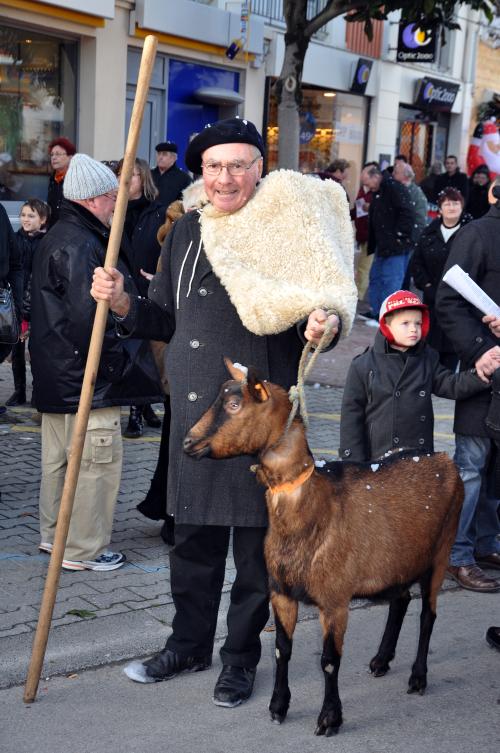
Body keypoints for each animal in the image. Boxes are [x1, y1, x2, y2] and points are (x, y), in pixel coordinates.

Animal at [184, 356, 464, 736]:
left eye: (233, 404)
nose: (188, 442)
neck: (313, 507)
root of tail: (444, 458)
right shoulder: (281, 592)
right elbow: (281, 650)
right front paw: (278, 707)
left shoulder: (334, 600)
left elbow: (330, 661)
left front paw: (330, 718)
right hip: (397, 559)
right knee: (401, 601)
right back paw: (381, 660)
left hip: (441, 552)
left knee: (428, 615)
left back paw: (418, 678)